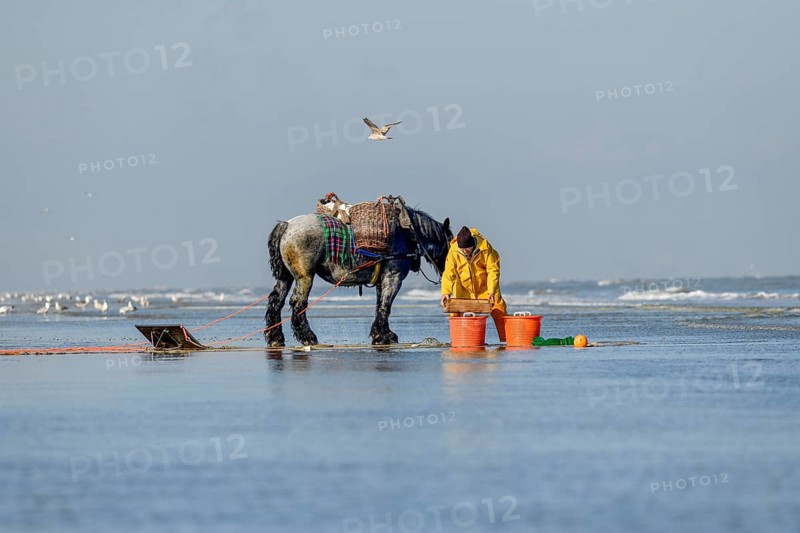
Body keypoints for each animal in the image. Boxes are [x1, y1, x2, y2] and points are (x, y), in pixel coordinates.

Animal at [264, 207, 452, 346]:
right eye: (451, 241)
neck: (406, 232)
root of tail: (287, 225)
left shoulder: (382, 280)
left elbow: (380, 305)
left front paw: (381, 334)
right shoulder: (393, 277)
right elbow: (386, 306)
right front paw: (384, 336)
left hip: (286, 277)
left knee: (276, 301)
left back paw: (276, 338)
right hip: (305, 277)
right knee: (298, 303)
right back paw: (308, 337)